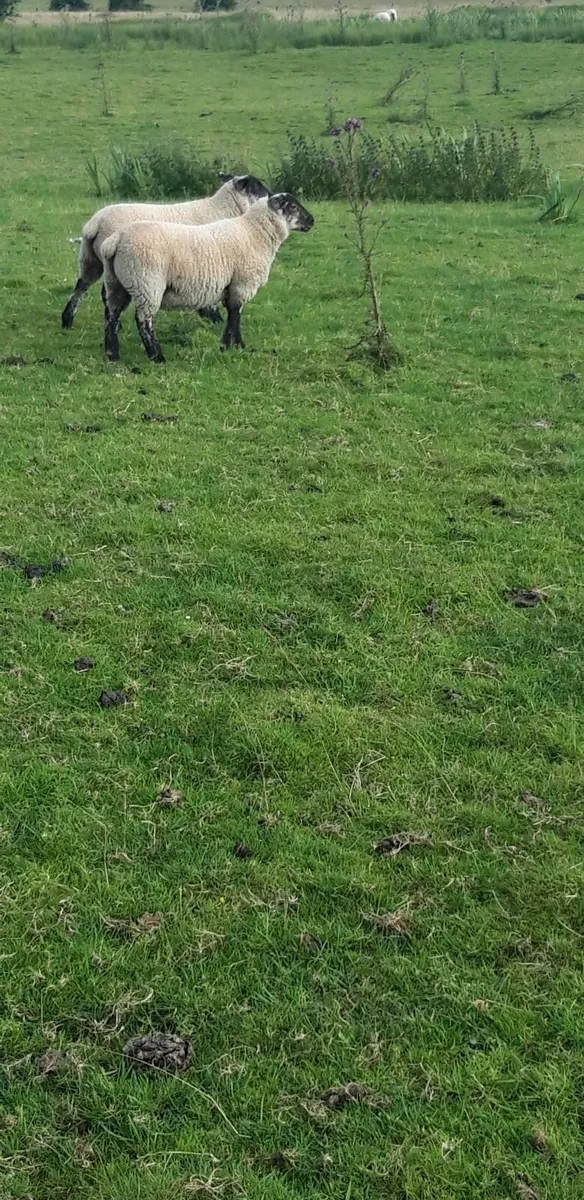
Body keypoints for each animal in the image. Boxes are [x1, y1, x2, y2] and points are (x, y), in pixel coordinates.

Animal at [61, 173, 269, 330]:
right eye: (257, 187)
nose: (272, 196)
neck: (222, 210)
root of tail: (95, 223)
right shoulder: (213, 261)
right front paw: (212, 316)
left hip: (91, 259)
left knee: (81, 286)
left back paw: (67, 320)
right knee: (104, 294)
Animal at [100, 192, 314, 365]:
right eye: (293, 206)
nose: (312, 220)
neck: (254, 233)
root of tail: (116, 239)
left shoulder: (231, 287)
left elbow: (231, 315)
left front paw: (227, 345)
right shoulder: (242, 284)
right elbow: (235, 316)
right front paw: (236, 346)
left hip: (116, 283)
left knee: (112, 315)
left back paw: (113, 355)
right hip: (147, 283)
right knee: (143, 321)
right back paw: (157, 357)